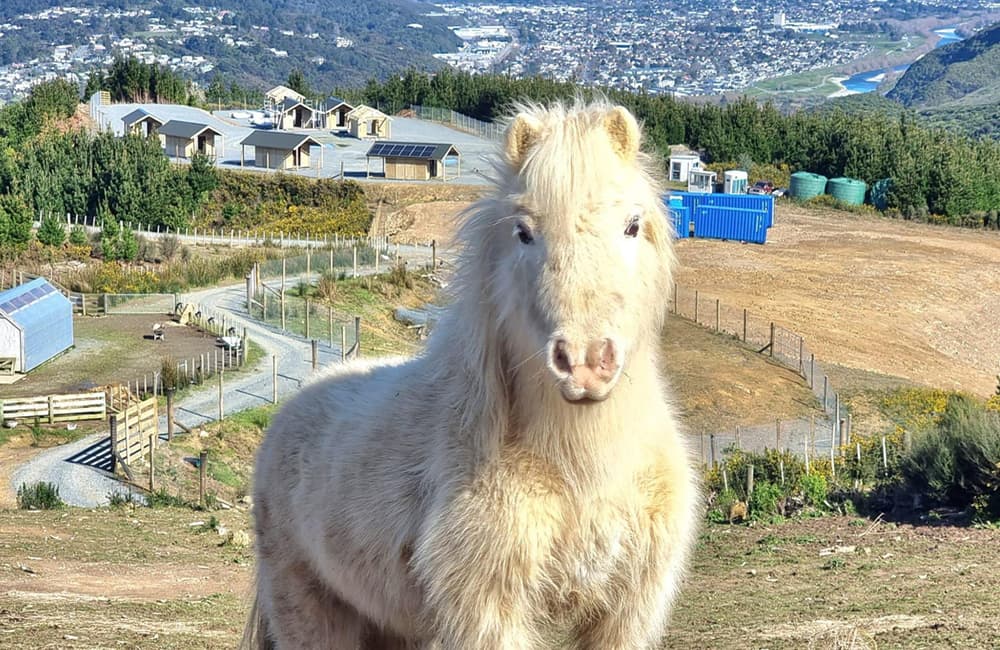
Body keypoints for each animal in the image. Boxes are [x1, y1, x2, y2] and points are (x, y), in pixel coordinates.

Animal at [245, 99, 701, 649]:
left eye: (632, 225)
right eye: (524, 232)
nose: (586, 362)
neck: (582, 471)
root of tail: (290, 412)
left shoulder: (624, 615)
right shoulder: (490, 613)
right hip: (311, 610)